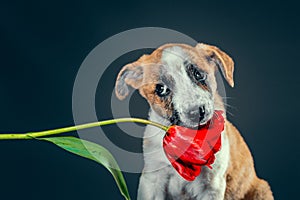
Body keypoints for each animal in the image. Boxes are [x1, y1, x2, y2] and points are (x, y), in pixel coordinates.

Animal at [113, 43, 274, 200]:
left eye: (199, 74)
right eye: (161, 89)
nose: (196, 112)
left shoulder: (212, 185)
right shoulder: (152, 180)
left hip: (262, 190)